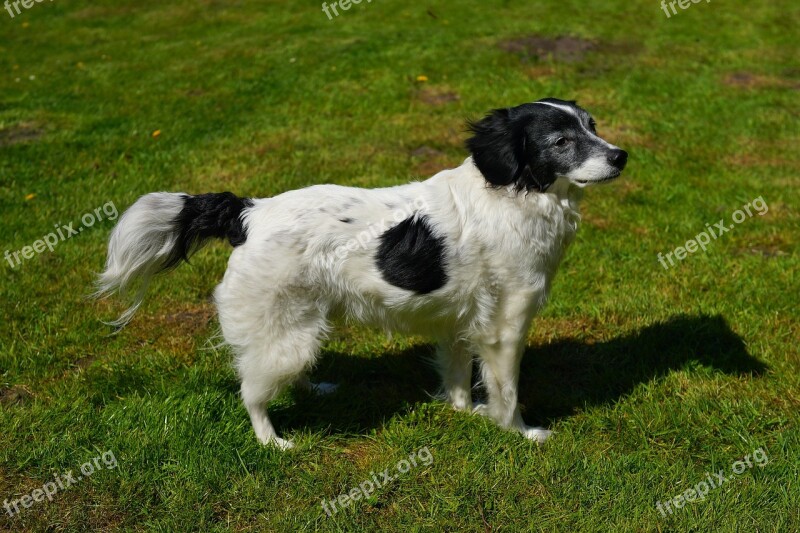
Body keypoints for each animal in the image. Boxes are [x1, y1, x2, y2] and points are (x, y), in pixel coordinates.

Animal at [97, 96, 628, 448]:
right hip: (284, 332)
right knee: (251, 391)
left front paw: (463, 413)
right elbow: (508, 389)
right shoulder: (505, 326)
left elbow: (458, 375)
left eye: (593, 126)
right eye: (561, 141)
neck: (513, 194)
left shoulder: (459, 318)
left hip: (301, 324)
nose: (621, 156)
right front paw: (520, 432)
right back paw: (272, 442)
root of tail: (248, 211)